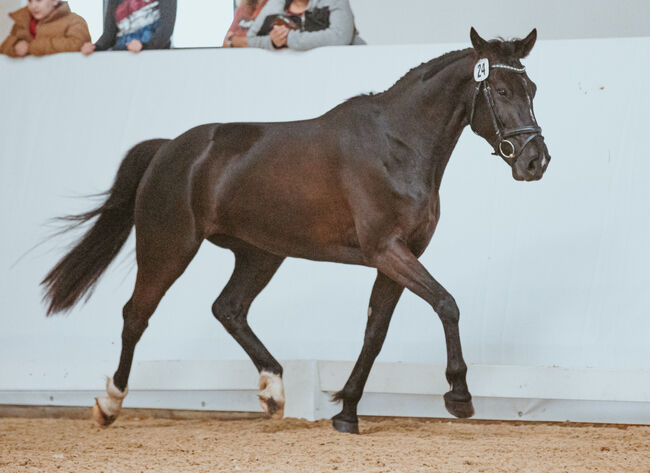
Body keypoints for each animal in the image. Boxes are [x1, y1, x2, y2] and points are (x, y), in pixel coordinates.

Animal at [40, 25, 548, 432]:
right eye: (500, 90)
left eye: (532, 88)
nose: (535, 161)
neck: (397, 145)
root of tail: (169, 149)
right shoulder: (387, 250)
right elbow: (447, 304)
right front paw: (459, 397)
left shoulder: (399, 256)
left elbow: (375, 333)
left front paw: (347, 414)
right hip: (169, 247)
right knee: (136, 315)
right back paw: (110, 405)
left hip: (260, 253)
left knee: (228, 308)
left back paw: (273, 391)